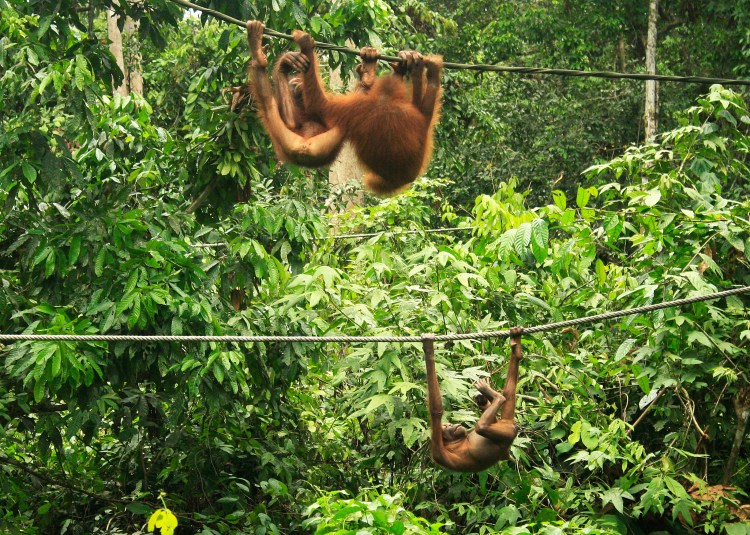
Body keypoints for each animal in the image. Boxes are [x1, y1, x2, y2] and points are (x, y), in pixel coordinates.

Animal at [422, 327, 523, 472]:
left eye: (450, 424)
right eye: (446, 426)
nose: (453, 425)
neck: (456, 442)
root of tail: (509, 422)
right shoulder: (438, 448)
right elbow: (436, 411)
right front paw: (428, 349)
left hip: (504, 424)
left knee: (508, 394)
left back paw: (516, 347)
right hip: (507, 429)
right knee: (482, 427)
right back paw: (497, 396)